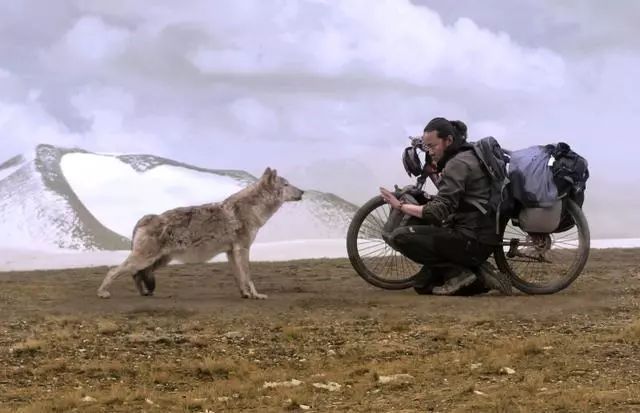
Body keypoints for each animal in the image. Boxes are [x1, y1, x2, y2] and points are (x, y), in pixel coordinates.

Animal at [96, 167, 304, 300]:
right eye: (286, 184)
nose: (303, 191)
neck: (252, 209)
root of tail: (145, 218)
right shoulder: (242, 249)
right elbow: (248, 276)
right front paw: (255, 295)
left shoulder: (231, 252)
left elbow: (239, 278)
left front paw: (245, 294)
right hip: (146, 259)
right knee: (114, 271)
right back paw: (102, 293)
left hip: (158, 261)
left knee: (136, 274)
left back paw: (144, 293)